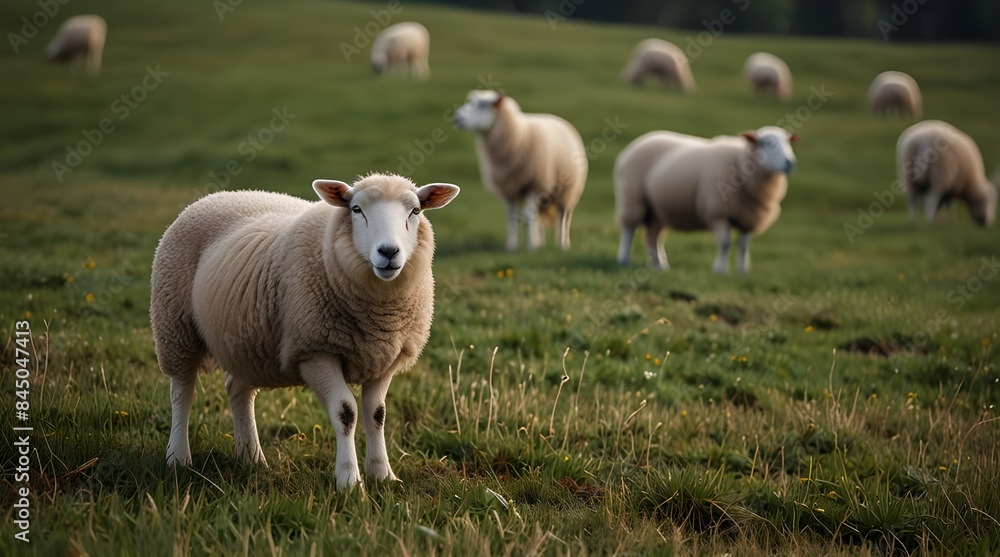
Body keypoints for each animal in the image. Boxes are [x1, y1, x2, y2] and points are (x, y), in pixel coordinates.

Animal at [150, 173, 460, 489]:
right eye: (356, 209)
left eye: (415, 211)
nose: (388, 252)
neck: (379, 315)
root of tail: (221, 195)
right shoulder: (315, 351)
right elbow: (345, 412)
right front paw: (349, 480)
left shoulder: (384, 358)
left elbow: (377, 415)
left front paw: (382, 475)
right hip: (175, 326)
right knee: (182, 392)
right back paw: (178, 458)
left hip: (246, 342)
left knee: (238, 391)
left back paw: (251, 458)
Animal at [454, 90, 587, 251]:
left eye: (482, 106)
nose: (456, 118)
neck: (519, 135)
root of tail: (558, 118)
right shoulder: (509, 189)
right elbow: (511, 217)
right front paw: (512, 247)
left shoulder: (535, 185)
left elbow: (529, 217)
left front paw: (530, 247)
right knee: (539, 217)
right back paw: (541, 242)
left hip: (568, 190)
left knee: (563, 218)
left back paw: (562, 245)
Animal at [615, 126, 798, 273]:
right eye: (768, 143)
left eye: (788, 143)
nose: (790, 163)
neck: (740, 163)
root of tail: (641, 140)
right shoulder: (718, 213)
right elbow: (725, 244)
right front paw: (720, 270)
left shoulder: (748, 219)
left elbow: (743, 246)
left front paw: (743, 271)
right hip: (633, 199)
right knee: (629, 229)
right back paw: (624, 259)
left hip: (658, 211)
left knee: (654, 238)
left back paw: (660, 266)